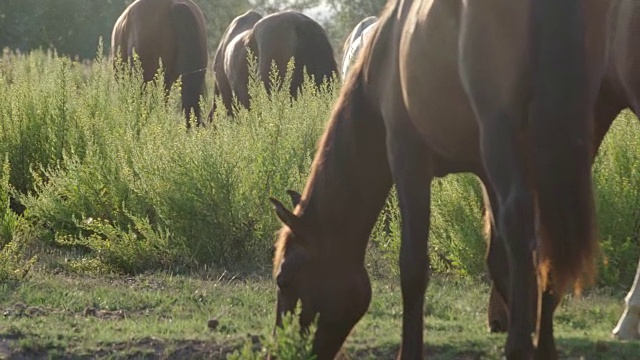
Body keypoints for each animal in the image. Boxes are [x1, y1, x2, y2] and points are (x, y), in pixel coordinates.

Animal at [268, 0, 608, 358]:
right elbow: (499, 259)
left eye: (284, 278)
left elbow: (413, 266)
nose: (281, 349)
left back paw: (518, 346)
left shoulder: (408, 163)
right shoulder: (484, 173)